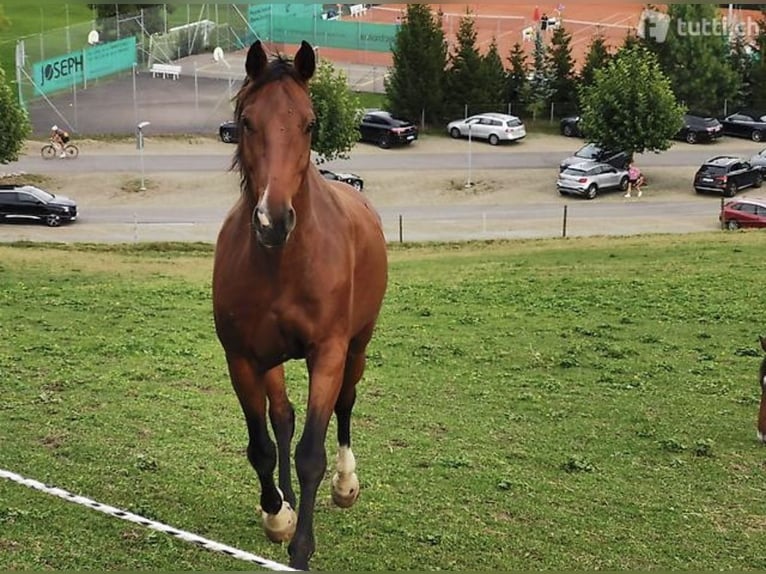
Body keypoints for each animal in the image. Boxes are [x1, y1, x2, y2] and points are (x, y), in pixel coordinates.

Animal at [212, 41, 388, 572]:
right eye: (248, 122)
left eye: (309, 123)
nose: (273, 220)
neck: (281, 264)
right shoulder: (243, 358)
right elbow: (263, 446)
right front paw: (277, 516)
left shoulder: (327, 353)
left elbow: (311, 453)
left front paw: (302, 548)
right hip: (272, 359)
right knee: (283, 418)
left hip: (357, 345)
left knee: (346, 404)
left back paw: (346, 484)